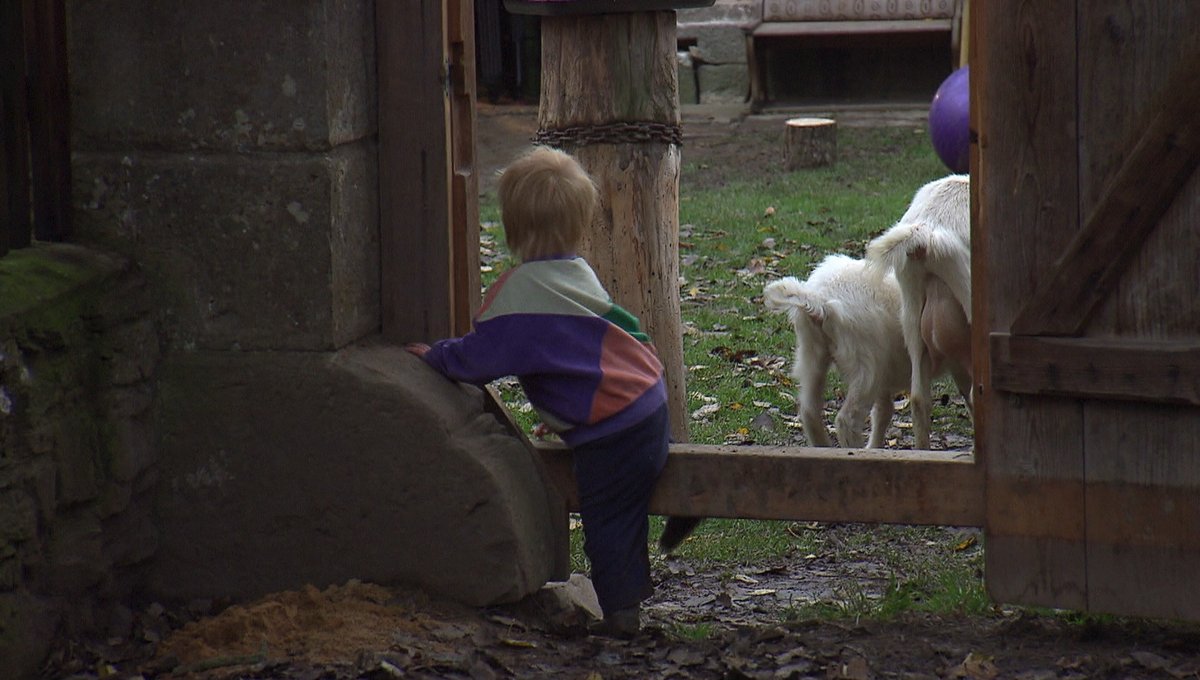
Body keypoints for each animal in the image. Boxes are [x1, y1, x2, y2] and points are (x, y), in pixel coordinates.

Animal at [763, 253, 902, 448]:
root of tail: (819, 298)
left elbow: (883, 411)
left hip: (812, 352)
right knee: (846, 420)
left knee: (809, 411)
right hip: (867, 364)